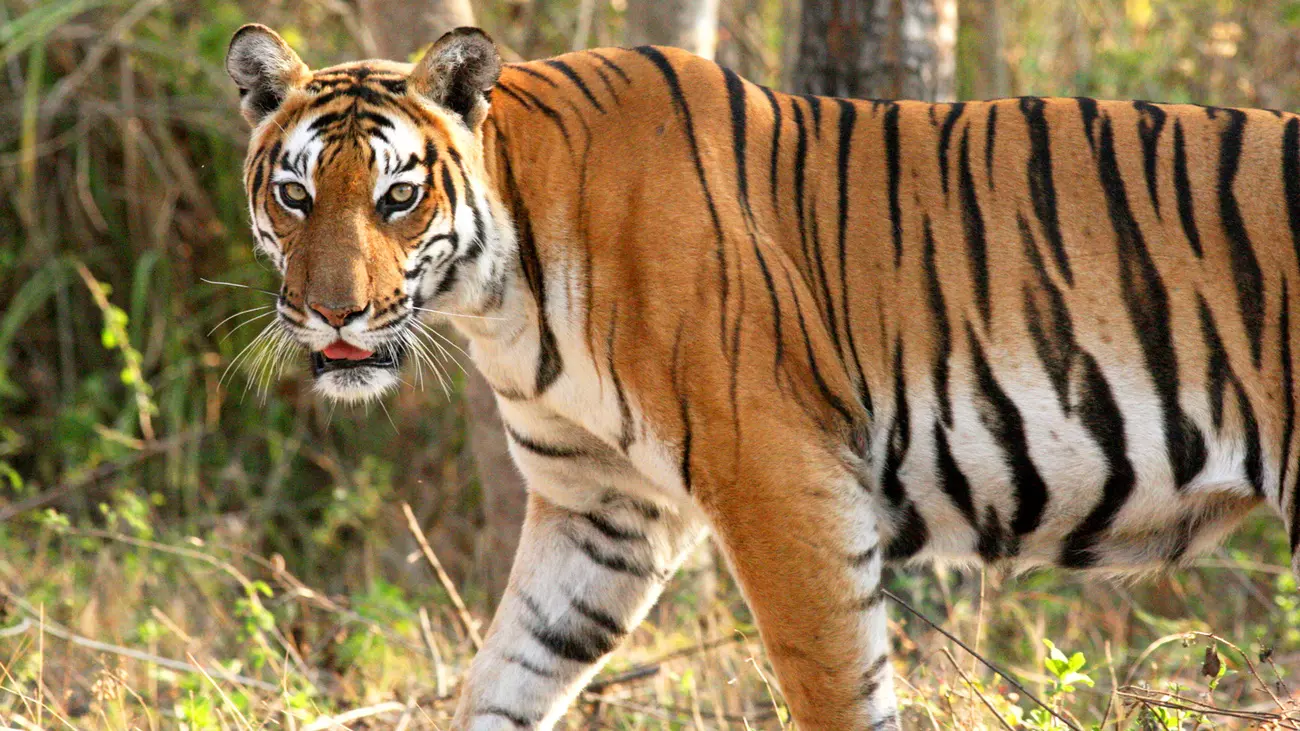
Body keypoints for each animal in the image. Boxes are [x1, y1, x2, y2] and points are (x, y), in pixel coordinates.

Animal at [228, 22, 1300, 728]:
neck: (502, 296)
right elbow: (509, 671)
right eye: (296, 195)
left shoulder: (781, 481)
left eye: (398, 197)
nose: (333, 312)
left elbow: (835, 689)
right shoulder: (600, 509)